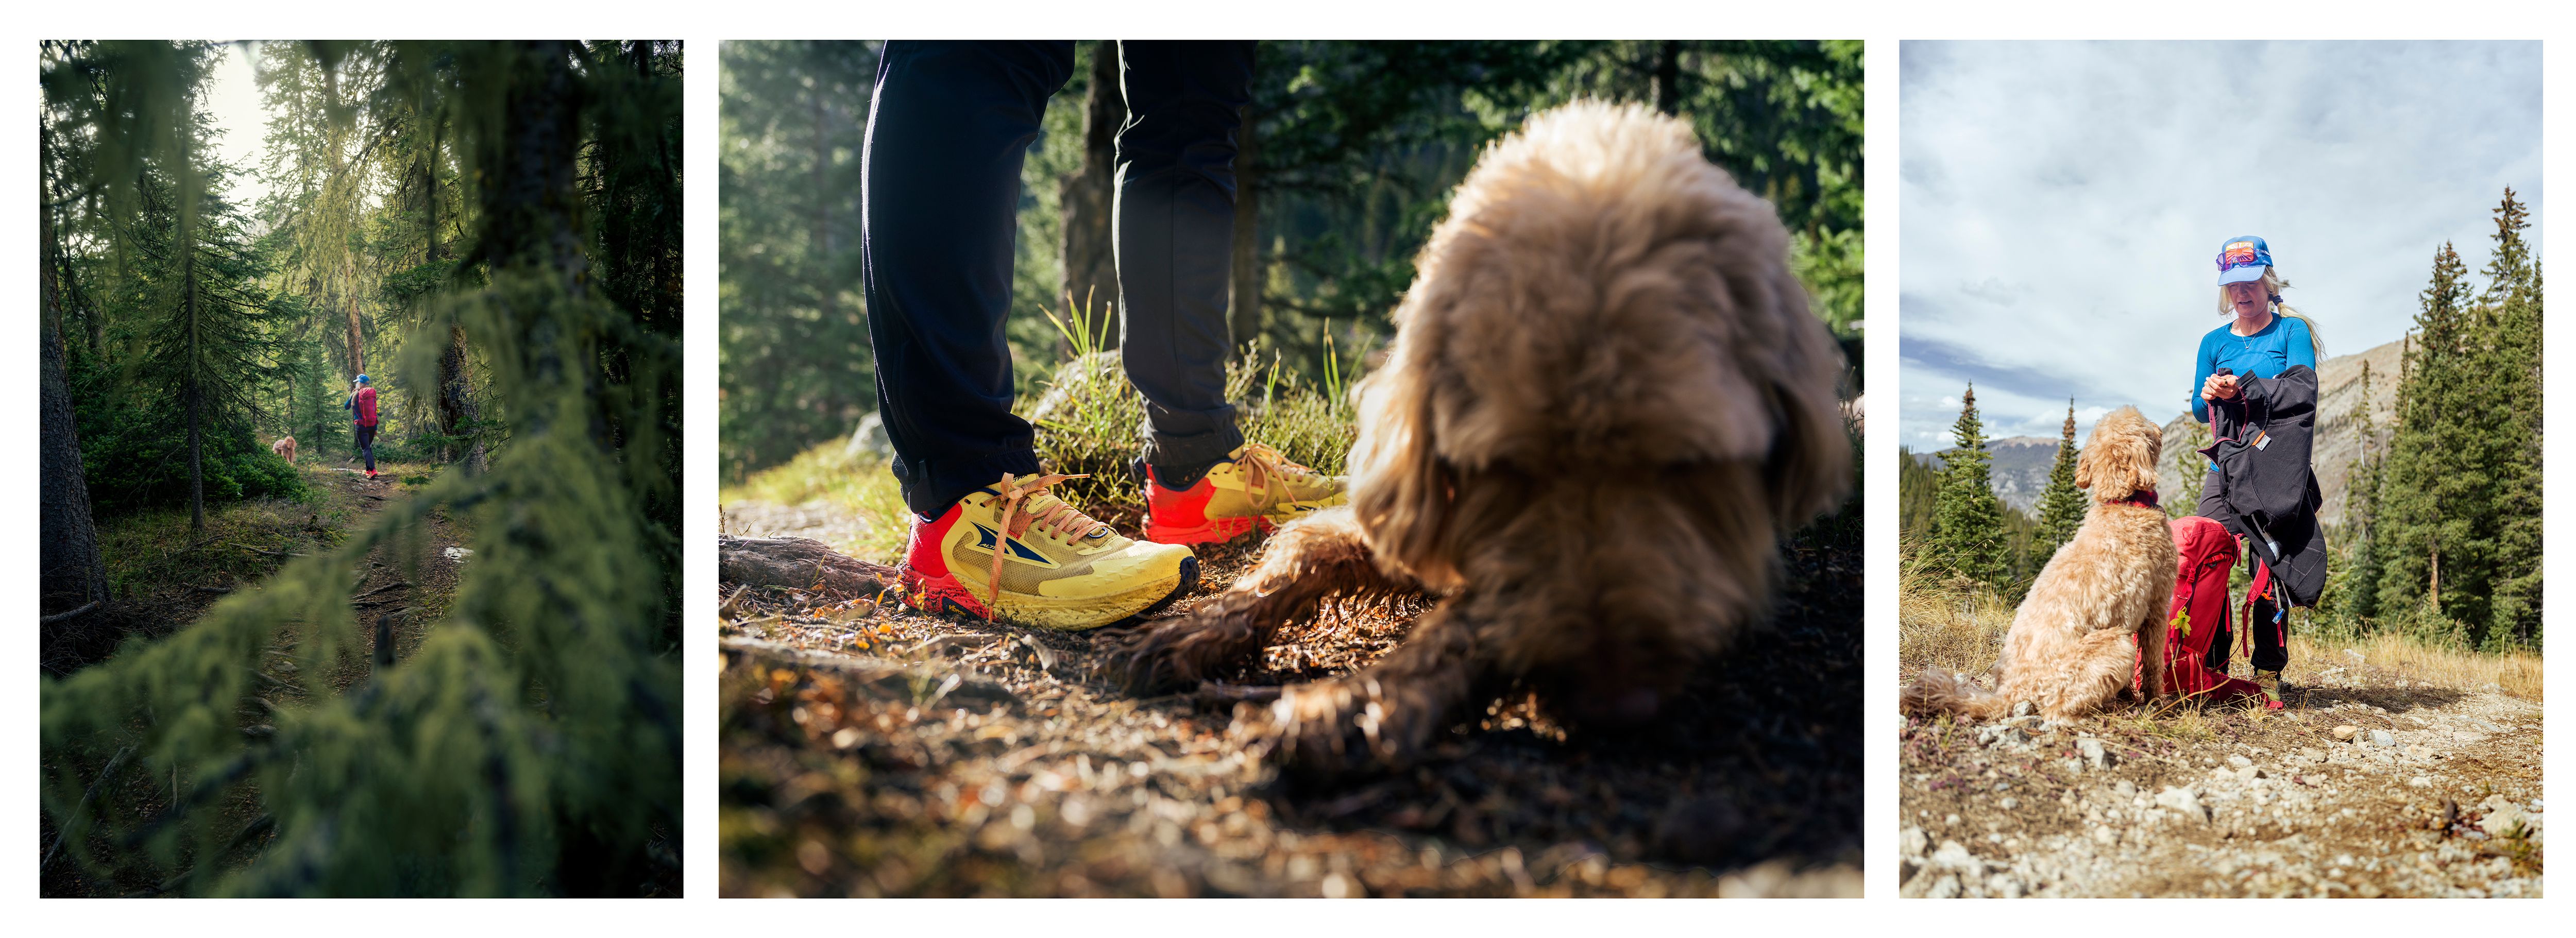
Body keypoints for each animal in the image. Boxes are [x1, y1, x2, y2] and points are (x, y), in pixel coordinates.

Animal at [1108, 100, 1855, 768]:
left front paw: (1357, 701)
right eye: (1509, 468)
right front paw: (1203, 625)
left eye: (1686, 463)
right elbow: (1307, 549)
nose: (1615, 706)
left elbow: (1473, 617)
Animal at [1896, 407, 2174, 721]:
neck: (2123, 504)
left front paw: (2131, 696)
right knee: (2057, 709)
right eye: (2144, 422)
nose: (2160, 428)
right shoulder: (2157, 607)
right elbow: (2153, 665)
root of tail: (2010, 692)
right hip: (2117, 645)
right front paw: (2157, 701)